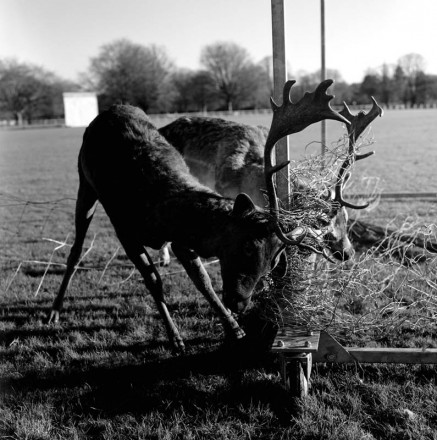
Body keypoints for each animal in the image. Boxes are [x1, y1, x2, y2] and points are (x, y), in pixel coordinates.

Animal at [47, 79, 348, 350]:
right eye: (247, 247)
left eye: (274, 258)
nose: (240, 303)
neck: (160, 212)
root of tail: (110, 109)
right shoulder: (125, 230)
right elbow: (154, 281)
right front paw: (176, 339)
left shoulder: (184, 240)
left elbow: (203, 281)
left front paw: (235, 329)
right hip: (84, 183)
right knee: (75, 250)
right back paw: (54, 312)